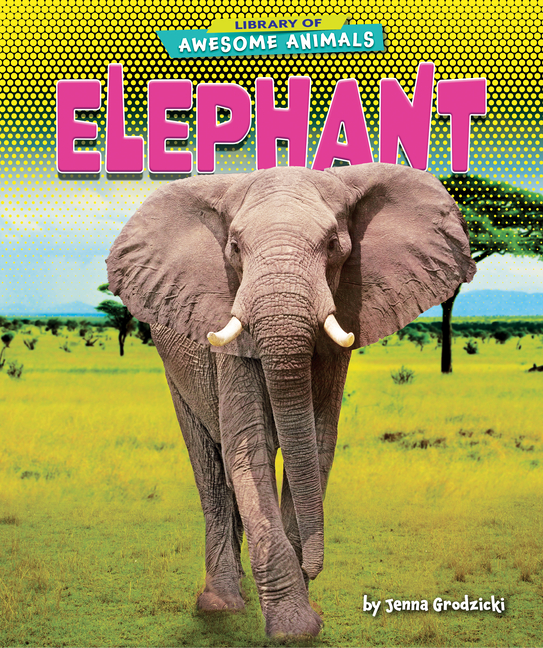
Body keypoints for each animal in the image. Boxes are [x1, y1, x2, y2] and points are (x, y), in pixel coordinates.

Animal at [106, 163, 475, 638]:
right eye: (234, 248)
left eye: (334, 245)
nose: (314, 568)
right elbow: (250, 451)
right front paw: (294, 627)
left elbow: (316, 446)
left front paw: (301, 611)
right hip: (174, 369)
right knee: (211, 470)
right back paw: (221, 605)